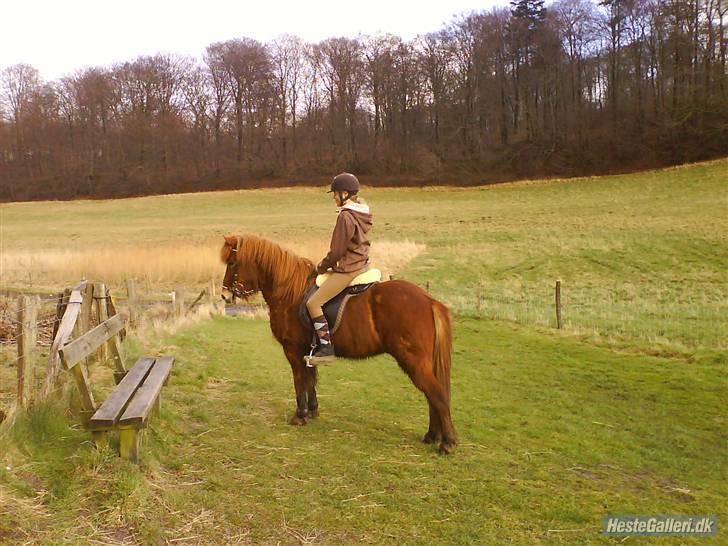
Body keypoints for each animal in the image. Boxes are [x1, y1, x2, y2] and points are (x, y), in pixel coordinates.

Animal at [219, 232, 458, 452]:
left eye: (232, 262)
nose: (224, 296)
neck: (289, 291)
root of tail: (429, 301)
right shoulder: (308, 353)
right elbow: (311, 380)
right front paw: (312, 411)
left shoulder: (293, 350)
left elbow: (300, 381)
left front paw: (299, 416)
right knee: (432, 396)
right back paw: (432, 436)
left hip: (414, 361)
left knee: (437, 395)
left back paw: (446, 443)